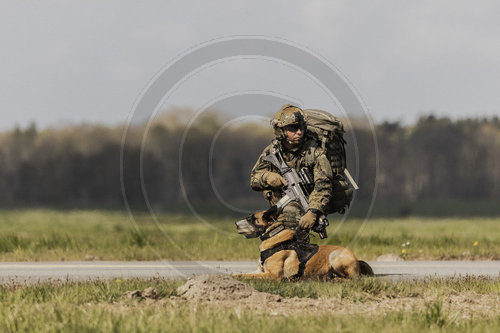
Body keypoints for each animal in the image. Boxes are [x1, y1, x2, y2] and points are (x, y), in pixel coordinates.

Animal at [233, 210, 372, 278]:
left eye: (251, 219)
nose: (235, 223)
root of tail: (357, 260)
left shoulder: (272, 276)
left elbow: (246, 276)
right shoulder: (259, 270)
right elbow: (242, 273)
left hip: (335, 256)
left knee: (352, 279)